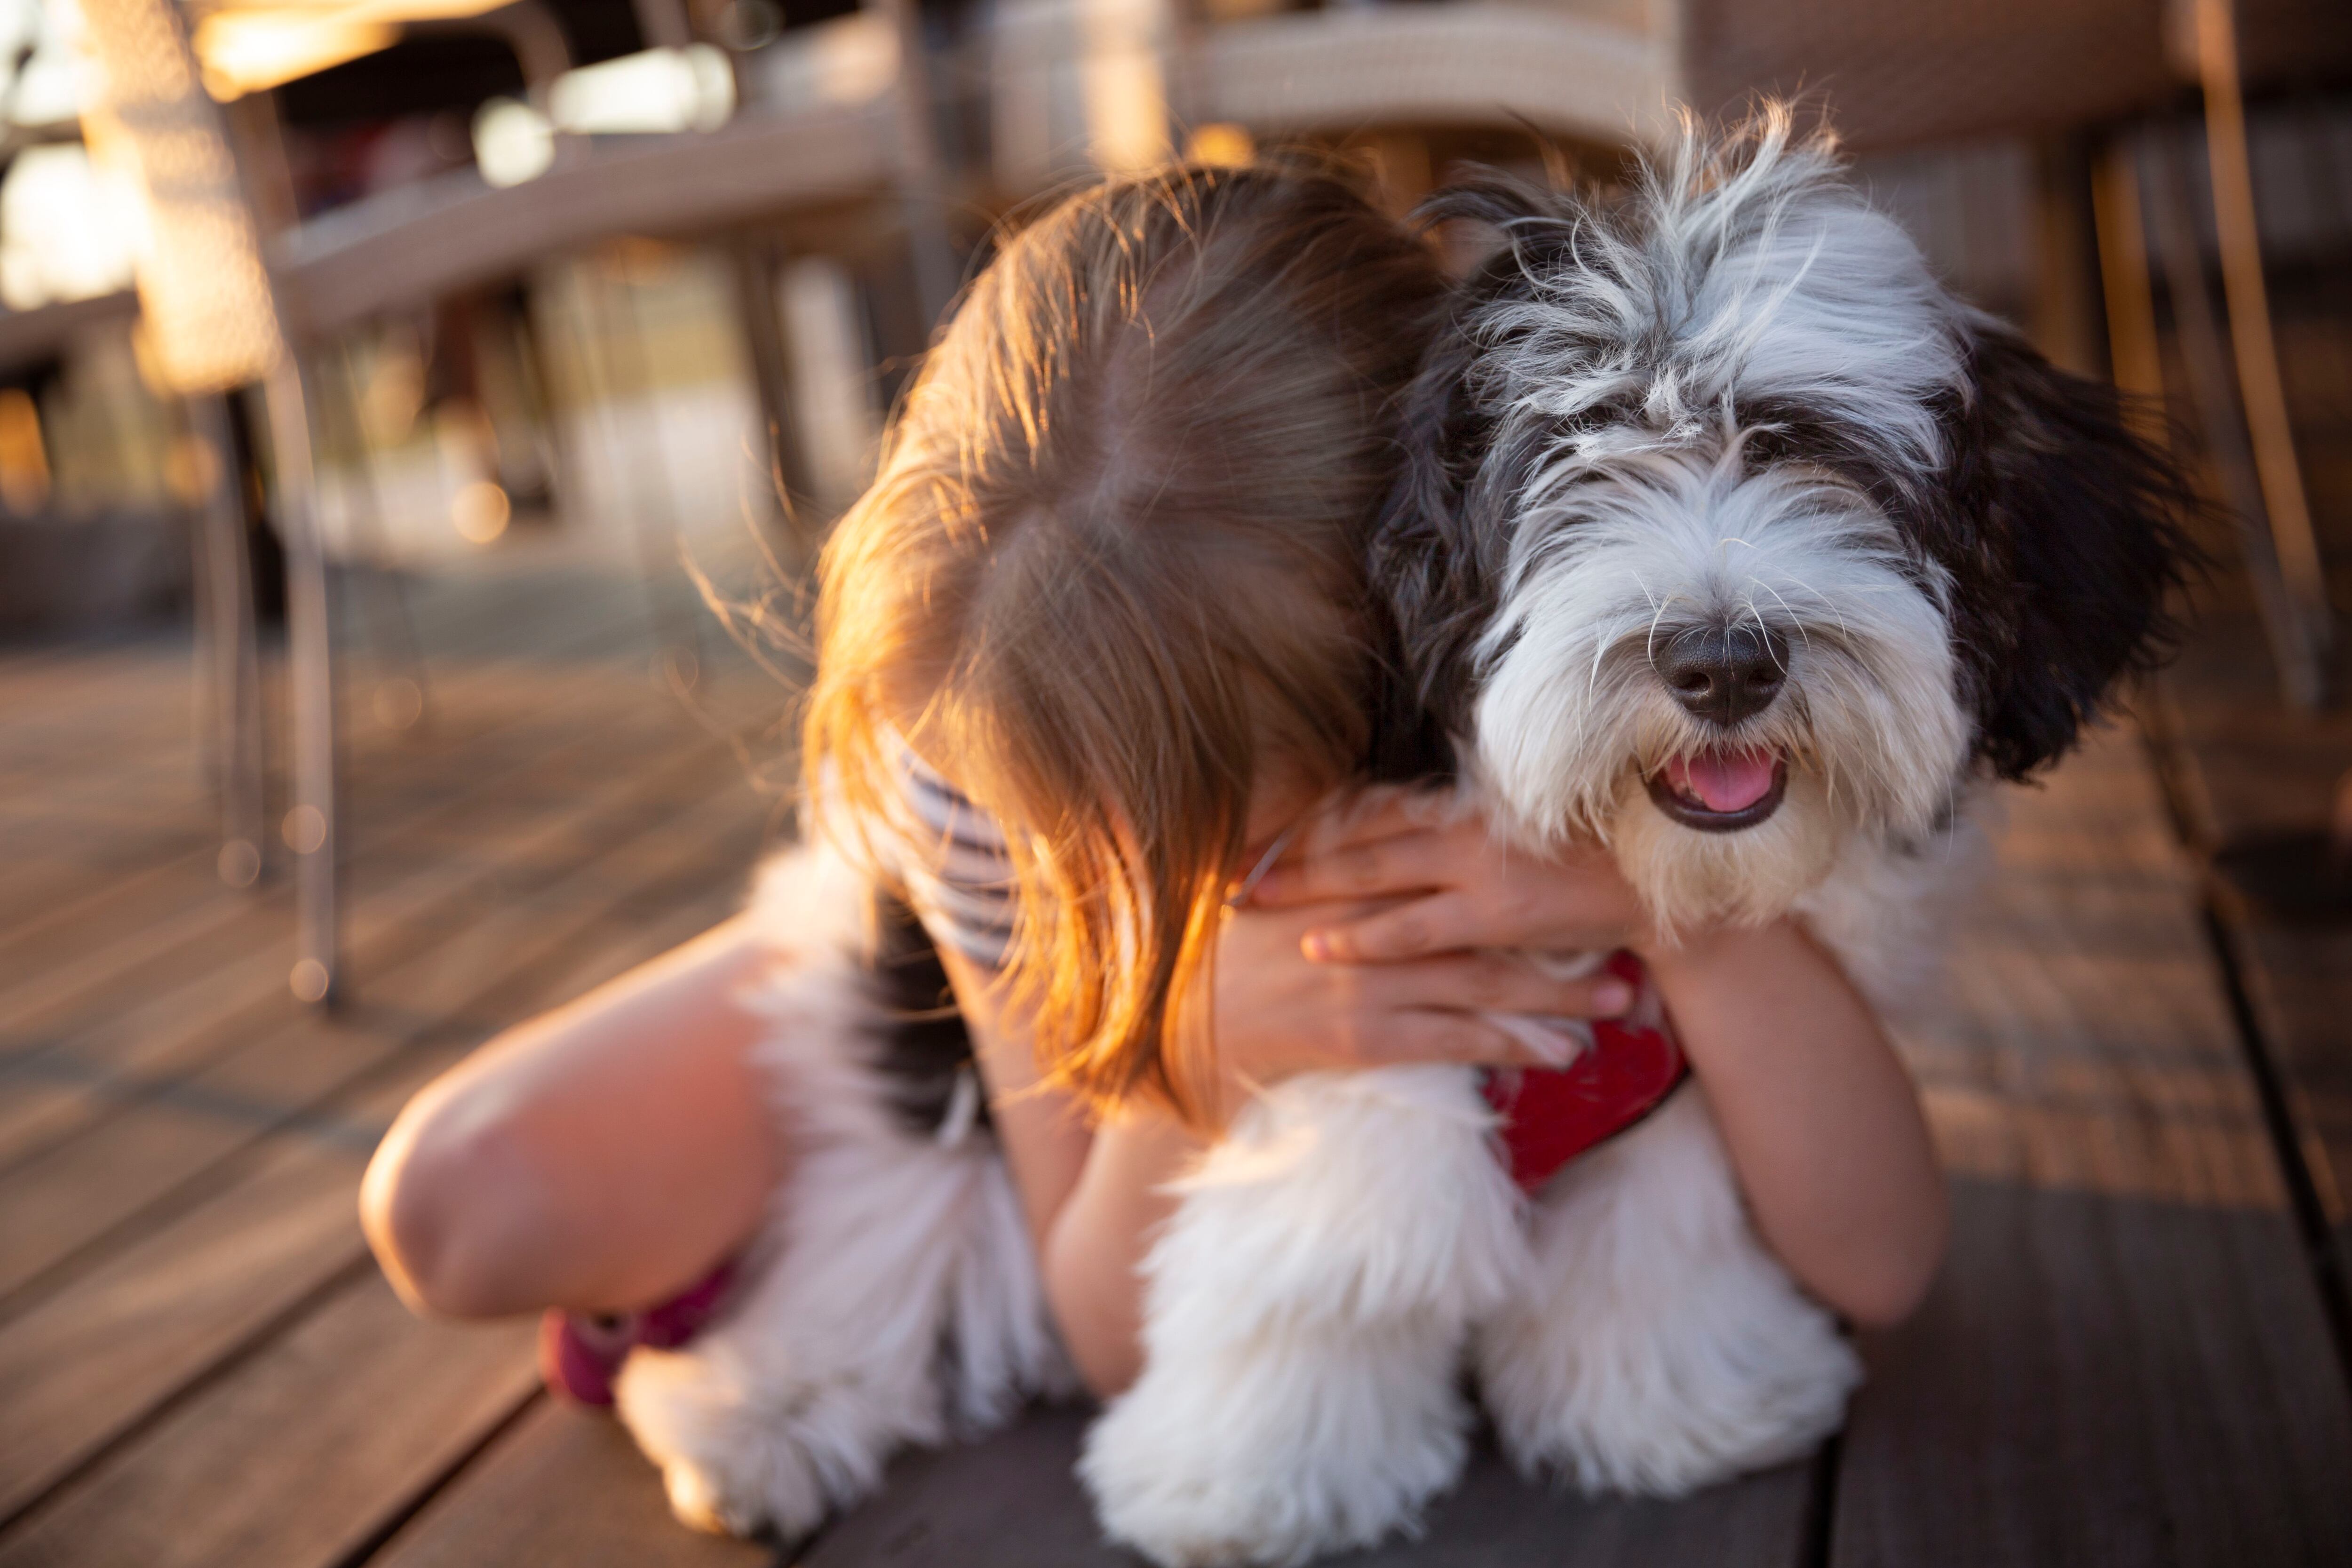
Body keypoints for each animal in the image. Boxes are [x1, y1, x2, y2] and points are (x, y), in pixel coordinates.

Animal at [607, 110, 2183, 1568]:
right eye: (1573, 469)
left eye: (1823, 459)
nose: (1722, 658)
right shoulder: (1337, 989)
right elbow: (1341, 1233)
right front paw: (1249, 1478)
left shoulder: (1669, 1059)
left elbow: (1655, 1209)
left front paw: (1673, 1399)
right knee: (880, 1237)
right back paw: (749, 1416)